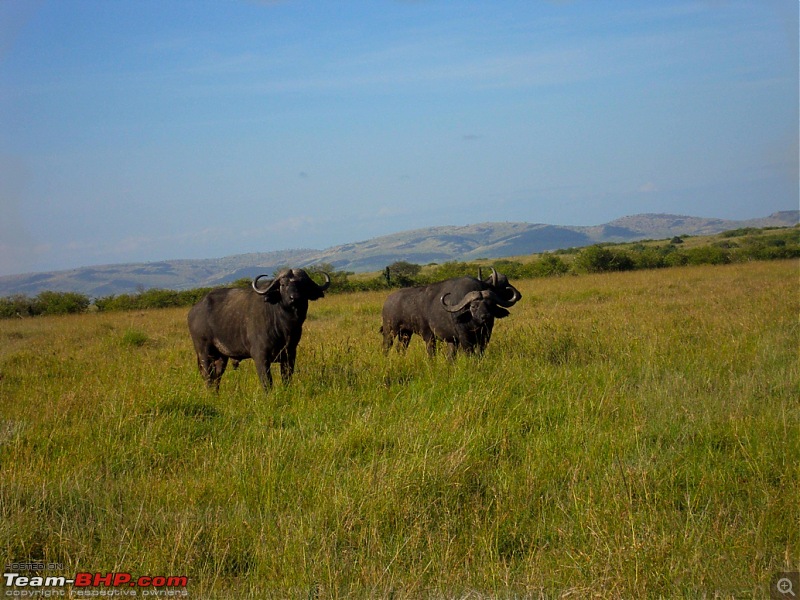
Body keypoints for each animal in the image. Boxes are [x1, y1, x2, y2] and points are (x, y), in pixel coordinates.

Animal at [189, 268, 330, 392]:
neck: (284, 325)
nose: (294, 298)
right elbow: (267, 381)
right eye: (283, 284)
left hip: (221, 356)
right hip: (204, 352)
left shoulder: (290, 354)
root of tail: (194, 310)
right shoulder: (260, 356)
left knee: (217, 376)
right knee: (208, 376)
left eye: (302, 284)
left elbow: (286, 378)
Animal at [380, 268, 520, 360]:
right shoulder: (464, 338)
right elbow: (469, 353)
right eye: (473, 306)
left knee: (401, 349)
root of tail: (387, 301)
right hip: (394, 332)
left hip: (406, 334)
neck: (473, 324)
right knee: (387, 347)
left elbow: (478, 352)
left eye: (490, 304)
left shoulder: (484, 336)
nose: (485, 317)